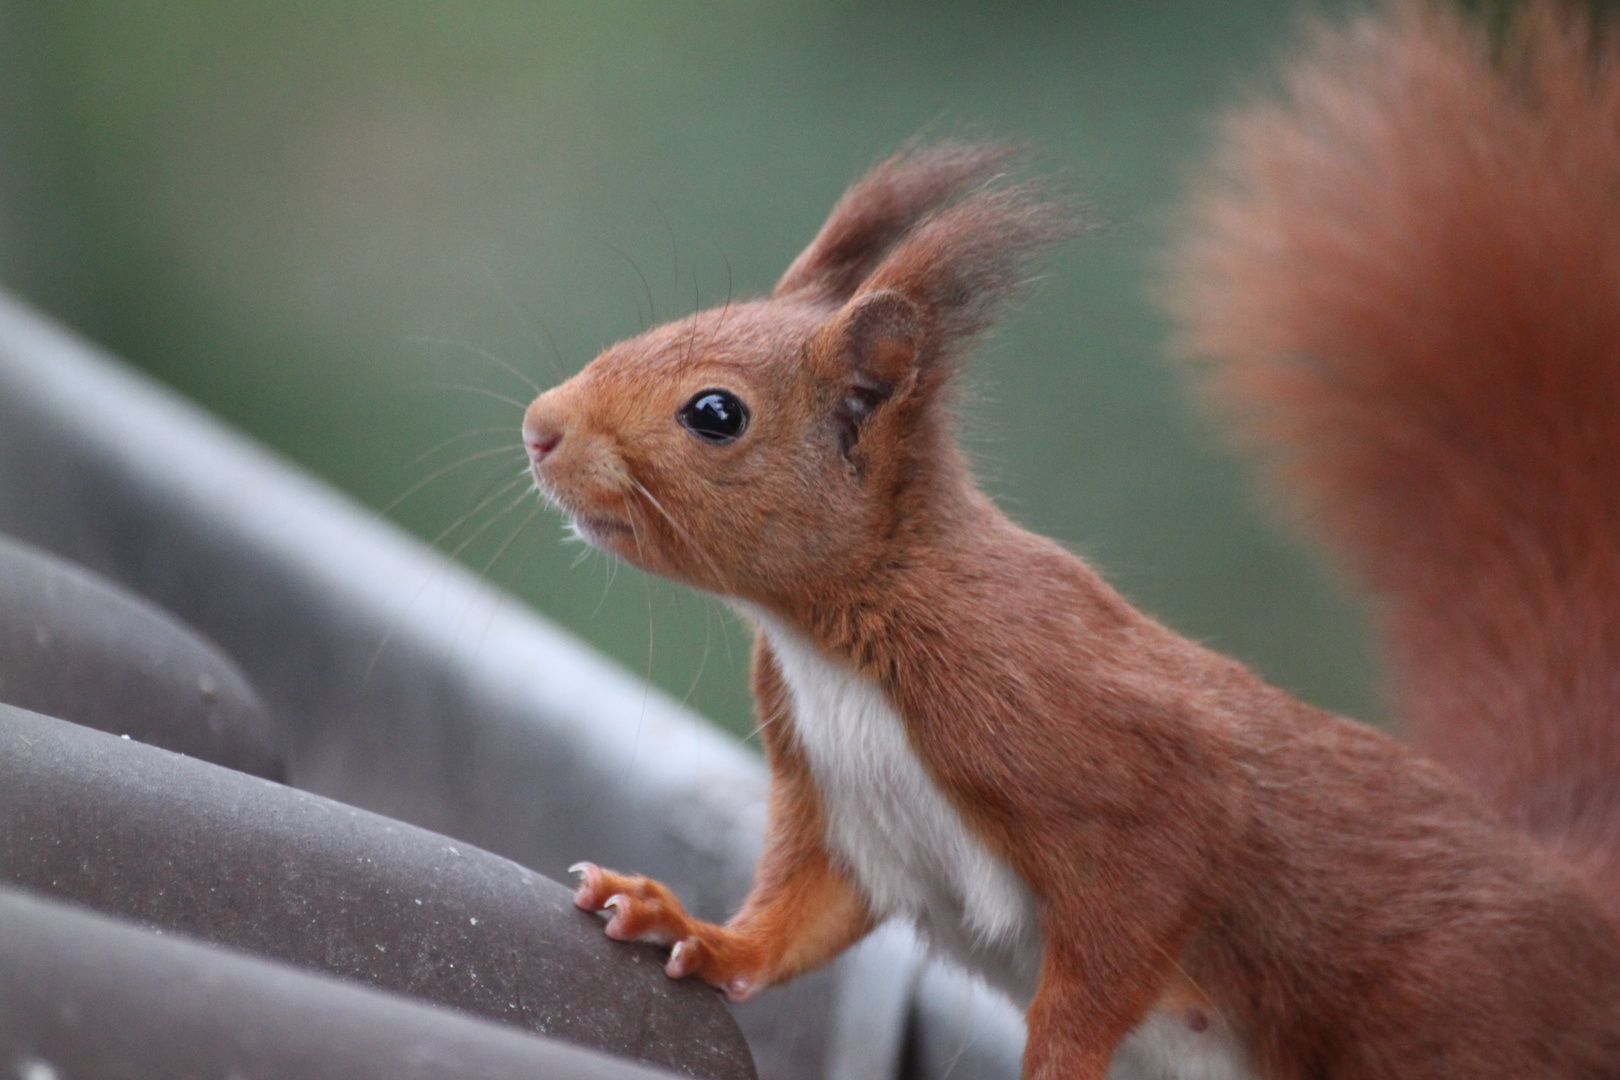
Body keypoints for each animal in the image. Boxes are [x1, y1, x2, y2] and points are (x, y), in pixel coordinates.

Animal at [524, 4, 1620, 1075]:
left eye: (715, 413)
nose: (540, 426)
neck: (840, 635)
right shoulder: (848, 812)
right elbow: (795, 922)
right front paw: (687, 931)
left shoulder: (1086, 738)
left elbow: (1121, 935)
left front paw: (1059, 1057)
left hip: (1450, 1016)